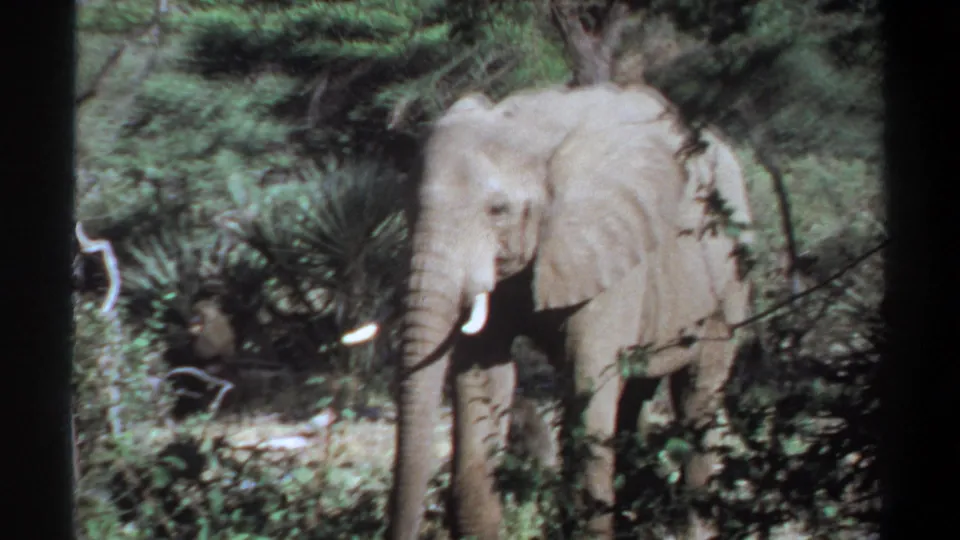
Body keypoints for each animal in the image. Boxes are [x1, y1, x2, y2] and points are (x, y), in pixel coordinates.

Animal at [347, 82, 754, 539]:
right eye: (408, 207)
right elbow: (482, 377)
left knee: (697, 393)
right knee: (636, 396)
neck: (528, 130)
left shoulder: (609, 251)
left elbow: (588, 380)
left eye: (498, 210)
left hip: (729, 280)